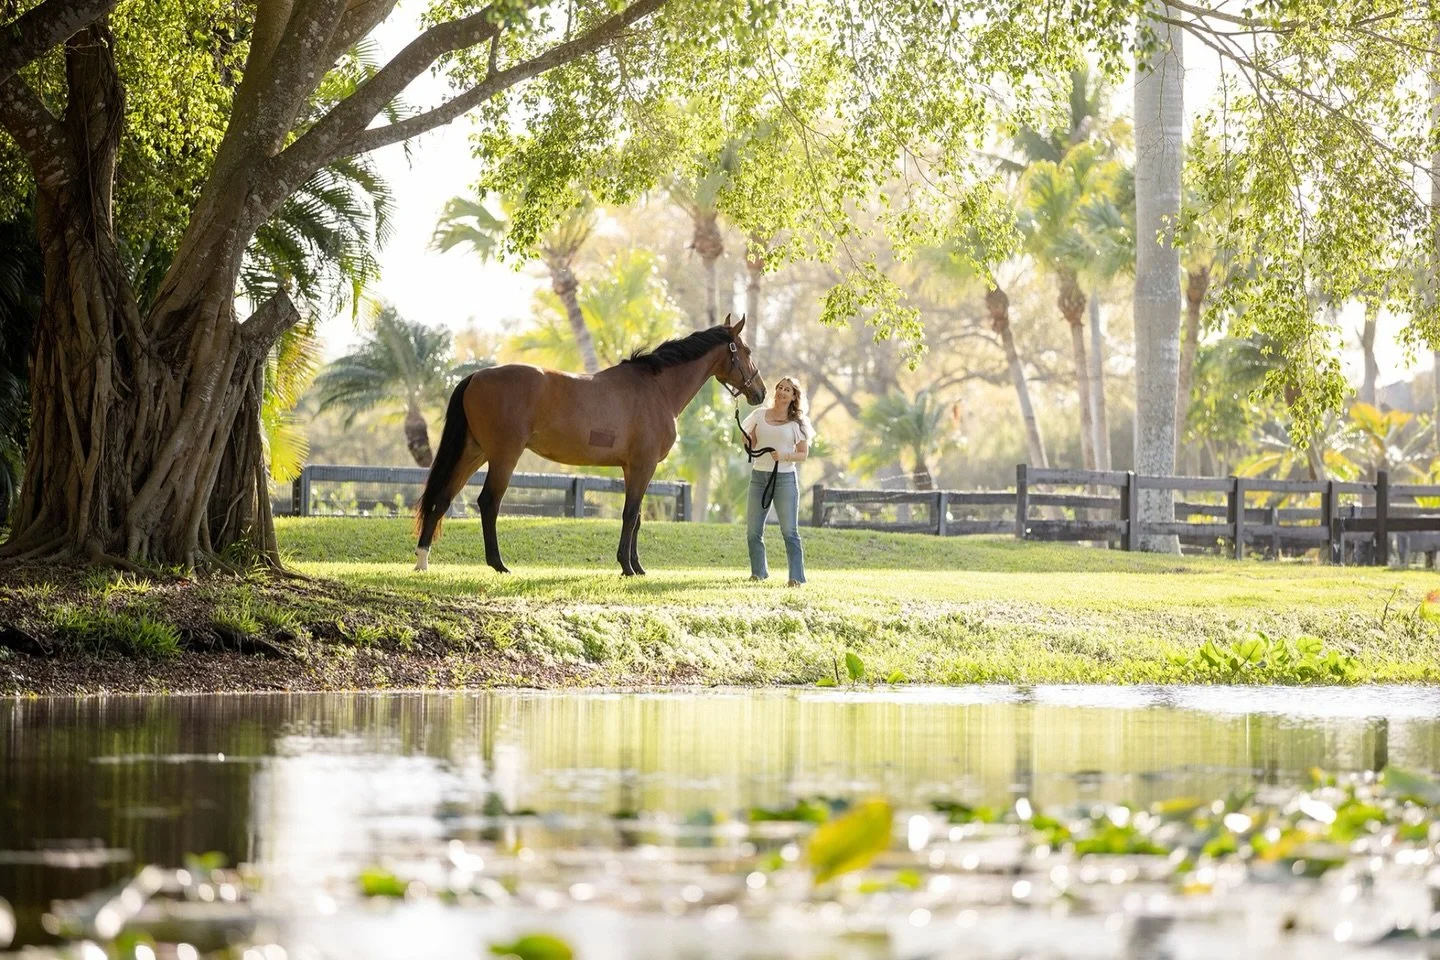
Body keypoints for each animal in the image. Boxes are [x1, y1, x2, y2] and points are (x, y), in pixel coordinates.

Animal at [413, 315, 766, 576]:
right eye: (746, 351)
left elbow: (637, 516)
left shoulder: (632, 468)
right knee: (488, 502)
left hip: (473, 452)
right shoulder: (643, 466)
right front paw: (627, 567)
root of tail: (475, 376)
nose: (760, 392)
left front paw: (637, 566)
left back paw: (422, 560)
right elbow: (630, 514)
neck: (657, 388)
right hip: (503, 456)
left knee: (442, 499)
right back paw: (498, 564)